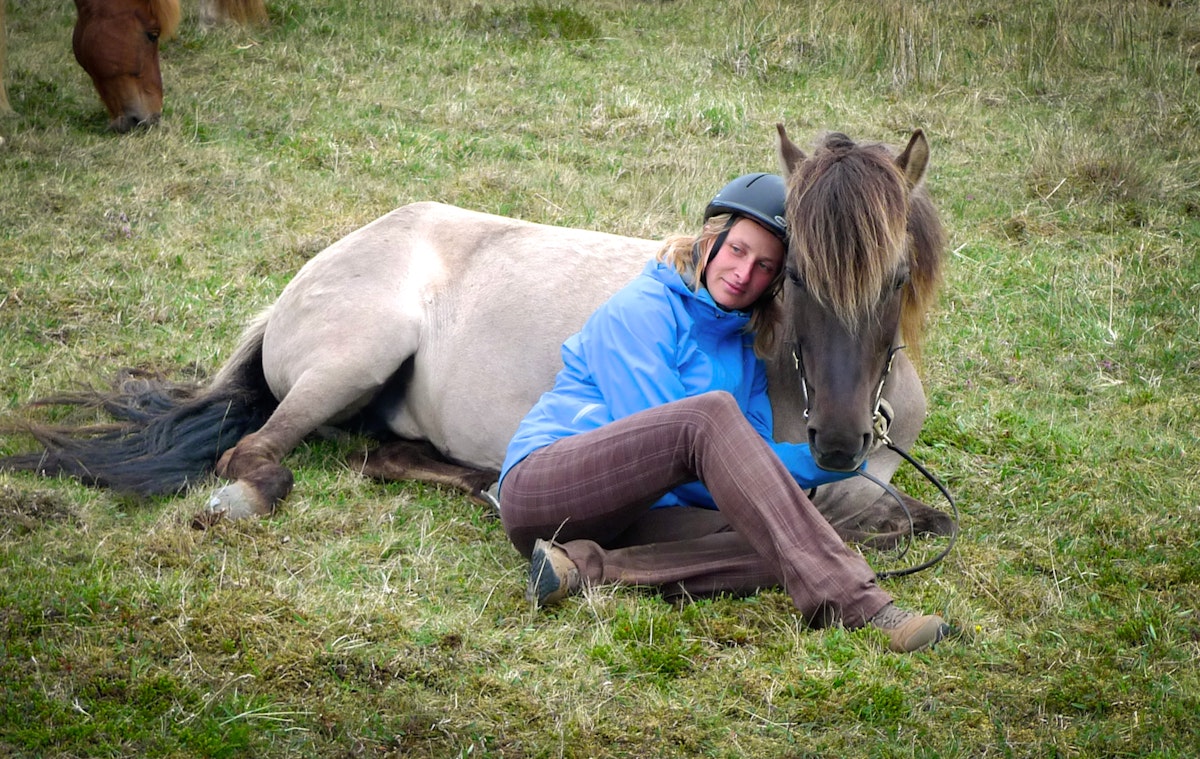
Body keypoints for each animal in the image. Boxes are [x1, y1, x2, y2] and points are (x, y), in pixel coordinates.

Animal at [0, 127, 955, 547]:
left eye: (898, 275)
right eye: (796, 275)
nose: (837, 440)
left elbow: (911, 508)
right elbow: (862, 510)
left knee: (381, 454)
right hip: (354, 356)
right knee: (258, 452)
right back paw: (246, 495)